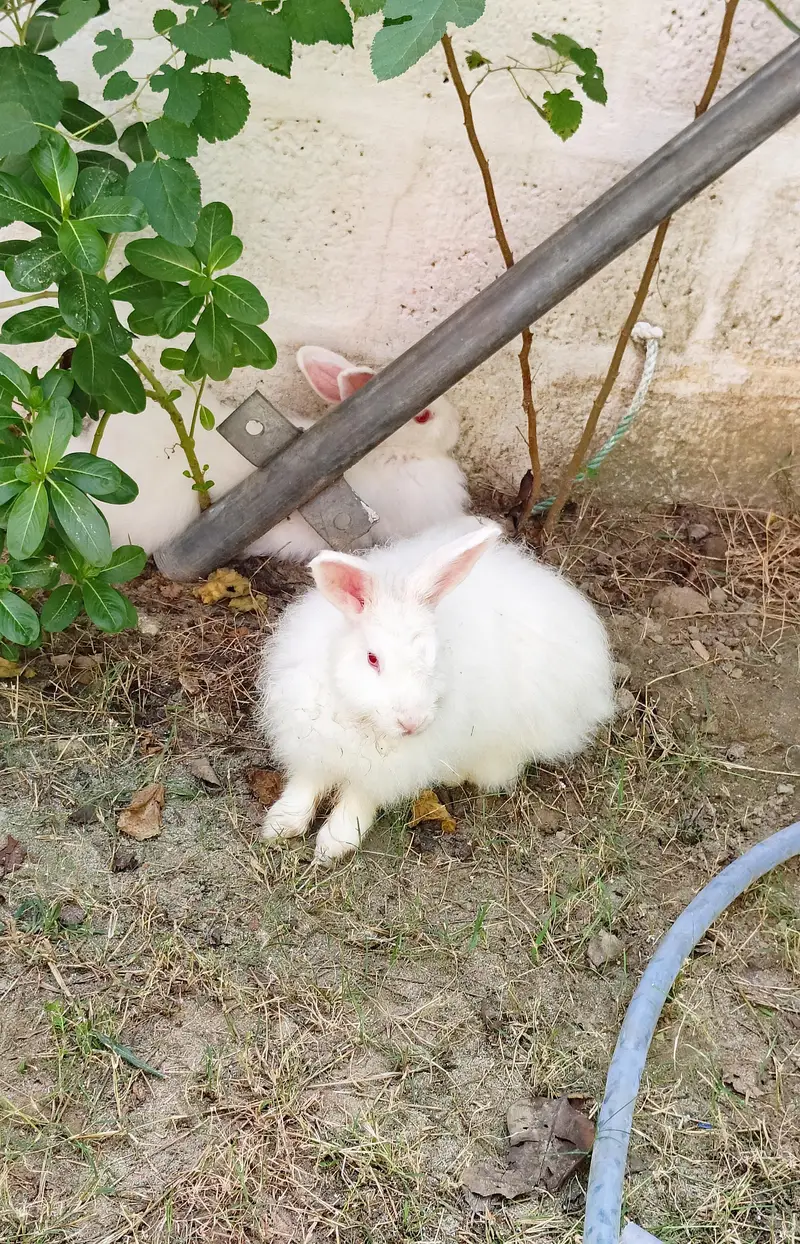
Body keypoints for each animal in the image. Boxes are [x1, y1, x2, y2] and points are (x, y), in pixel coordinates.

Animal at [257, 517, 615, 865]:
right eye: (372, 659)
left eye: (433, 654)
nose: (411, 723)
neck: (362, 720)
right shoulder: (312, 748)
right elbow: (305, 785)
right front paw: (279, 825)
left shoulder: (382, 776)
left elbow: (358, 799)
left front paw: (332, 845)